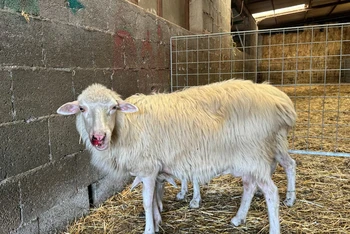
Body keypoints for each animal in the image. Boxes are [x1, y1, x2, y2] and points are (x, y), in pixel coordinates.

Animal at [56, 79, 296, 234]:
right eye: (82, 108)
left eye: (114, 107)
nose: (98, 137)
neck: (126, 126)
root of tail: (279, 101)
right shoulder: (155, 168)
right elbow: (155, 196)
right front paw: (157, 220)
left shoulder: (148, 167)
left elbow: (147, 201)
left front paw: (149, 229)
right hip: (249, 157)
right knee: (250, 184)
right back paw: (238, 218)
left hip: (255, 152)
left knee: (272, 190)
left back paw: (279, 217)